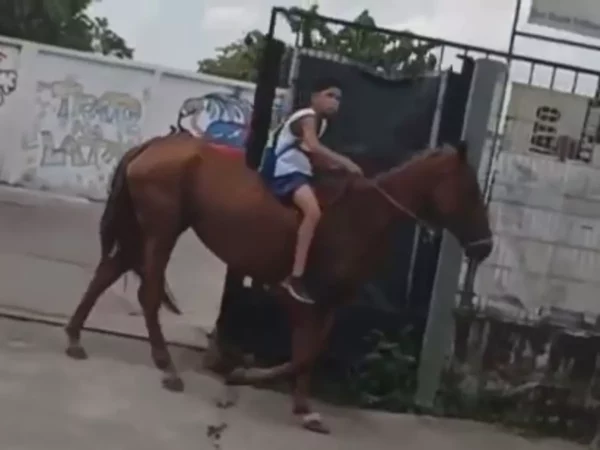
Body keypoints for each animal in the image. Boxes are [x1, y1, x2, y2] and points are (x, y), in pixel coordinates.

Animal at [63, 130, 492, 432]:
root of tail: (152, 146)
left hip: (143, 230)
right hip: (162, 230)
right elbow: (301, 353)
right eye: (471, 191)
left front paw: (302, 407)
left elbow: (310, 351)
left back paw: (75, 338)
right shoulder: (294, 293)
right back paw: (166, 366)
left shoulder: (329, 303)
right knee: (148, 291)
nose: (485, 246)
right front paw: (249, 376)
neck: (360, 217)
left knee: (106, 273)